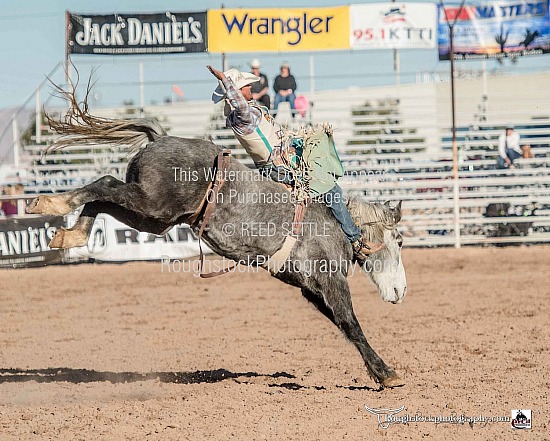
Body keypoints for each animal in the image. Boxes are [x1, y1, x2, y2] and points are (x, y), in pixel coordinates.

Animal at [28, 87, 408, 388]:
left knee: (103, 198)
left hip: (153, 216)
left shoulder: (311, 289)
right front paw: (388, 373)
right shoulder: (330, 280)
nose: (401, 291)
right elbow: (351, 323)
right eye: (400, 242)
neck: (337, 223)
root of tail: (160, 137)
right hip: (152, 204)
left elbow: (342, 325)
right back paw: (49, 203)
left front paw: (379, 372)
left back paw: (67, 235)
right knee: (105, 185)